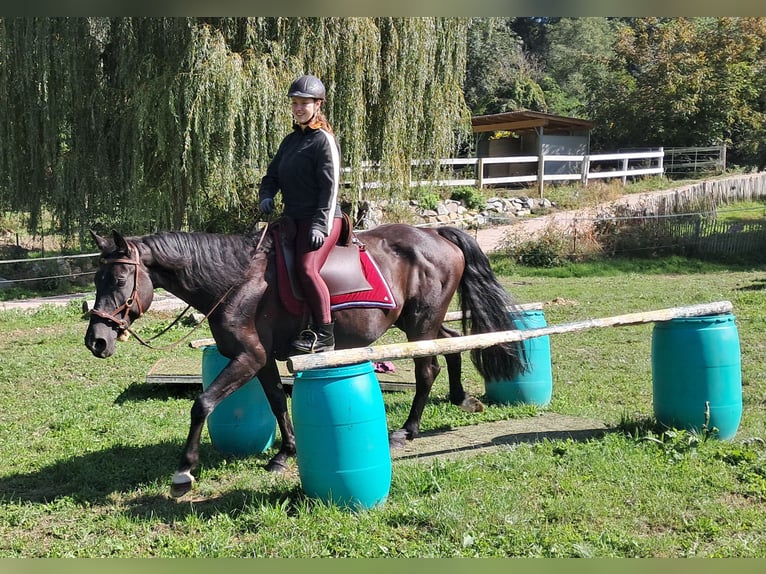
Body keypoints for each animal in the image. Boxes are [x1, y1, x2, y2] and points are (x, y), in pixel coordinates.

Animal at [84, 223, 528, 498]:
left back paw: (407, 430)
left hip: (420, 323)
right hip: (420, 323)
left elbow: (203, 403)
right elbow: (278, 402)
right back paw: (462, 399)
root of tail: (435, 233)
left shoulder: (248, 357)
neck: (236, 281)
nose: (96, 341)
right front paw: (285, 453)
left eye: (119, 279)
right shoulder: (261, 360)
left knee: (428, 368)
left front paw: (184, 472)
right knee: (452, 344)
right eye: (96, 280)